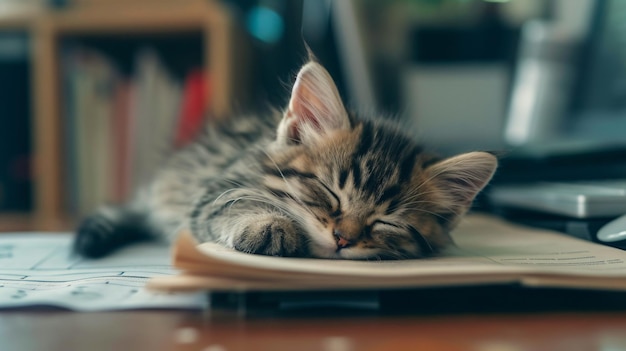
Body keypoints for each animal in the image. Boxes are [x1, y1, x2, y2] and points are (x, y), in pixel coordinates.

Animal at [72, 59, 498, 260]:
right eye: (330, 192)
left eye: (387, 222)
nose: (343, 239)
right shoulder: (215, 190)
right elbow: (234, 203)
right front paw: (268, 225)